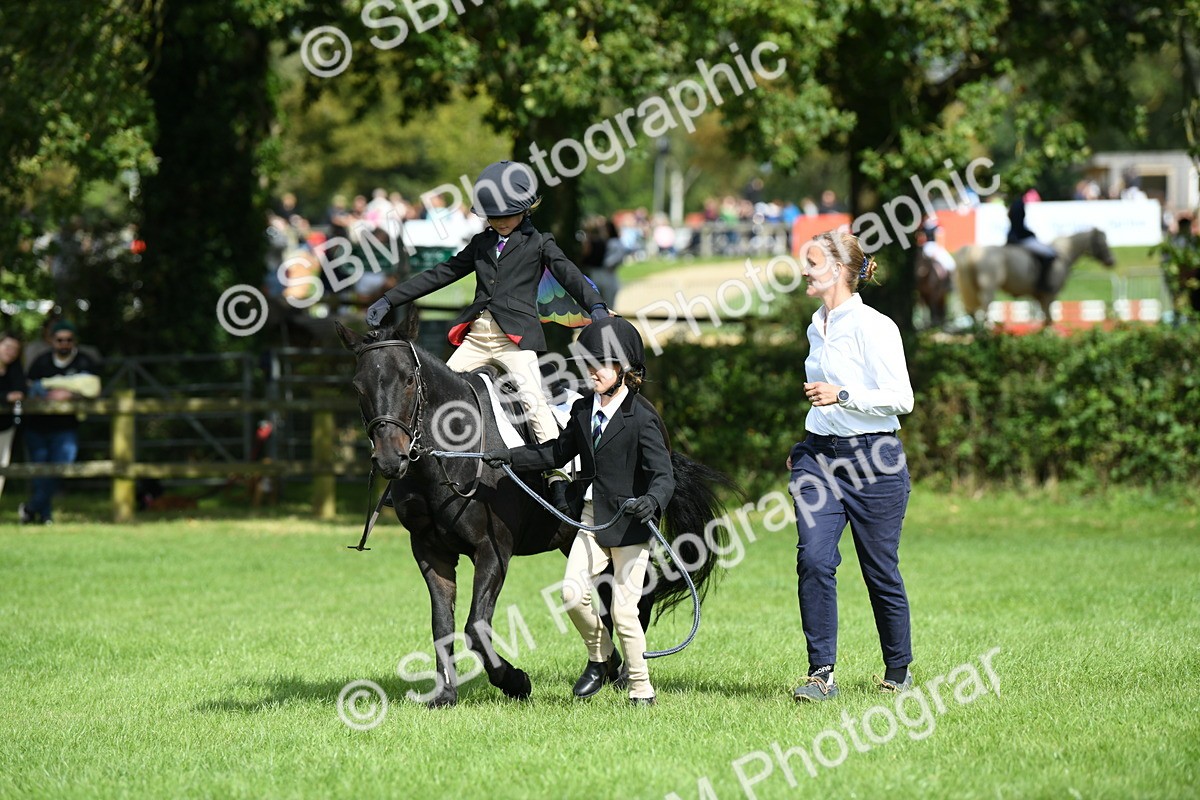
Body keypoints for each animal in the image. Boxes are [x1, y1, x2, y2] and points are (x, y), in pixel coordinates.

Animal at [335, 318, 734, 707]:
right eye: (358, 385)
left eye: (407, 380)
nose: (391, 459)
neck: (456, 451)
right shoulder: (431, 552)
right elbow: (441, 625)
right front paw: (444, 694)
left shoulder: (493, 551)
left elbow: (475, 627)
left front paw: (515, 682)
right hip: (576, 540)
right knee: (604, 601)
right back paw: (604, 669)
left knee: (634, 599)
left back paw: (623, 678)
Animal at [955, 228, 1115, 326]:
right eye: (1101, 242)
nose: (1111, 261)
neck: (1063, 254)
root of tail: (974, 249)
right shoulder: (1049, 295)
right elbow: (1049, 318)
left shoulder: (1040, 296)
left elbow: (1045, 319)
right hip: (988, 288)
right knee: (984, 308)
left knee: (972, 311)